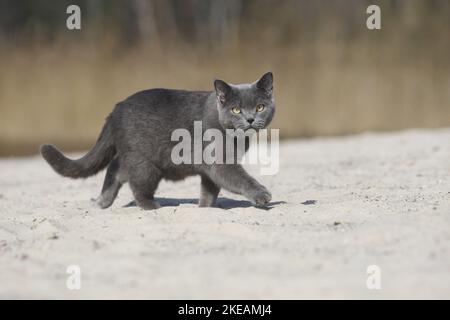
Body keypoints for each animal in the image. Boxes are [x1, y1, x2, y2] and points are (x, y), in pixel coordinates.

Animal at [41, 72, 274, 210]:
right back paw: (150, 206)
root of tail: (116, 109)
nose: (250, 119)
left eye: (260, 107)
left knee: (116, 168)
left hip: (138, 158)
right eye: (236, 110)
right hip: (145, 163)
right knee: (134, 182)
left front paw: (205, 208)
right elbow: (241, 179)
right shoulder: (220, 162)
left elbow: (210, 189)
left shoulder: (211, 170)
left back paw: (103, 201)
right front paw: (262, 195)